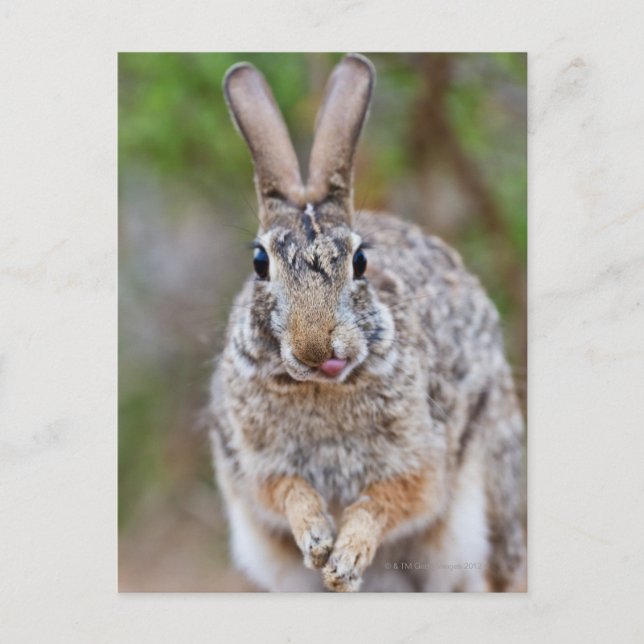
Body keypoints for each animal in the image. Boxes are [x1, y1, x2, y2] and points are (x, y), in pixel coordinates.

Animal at [209, 54, 526, 592]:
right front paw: (317, 538)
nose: (318, 348)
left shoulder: (423, 461)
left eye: (359, 261)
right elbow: (288, 491)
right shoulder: (253, 467)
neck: (323, 388)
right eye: (259, 262)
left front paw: (346, 558)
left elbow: (386, 502)